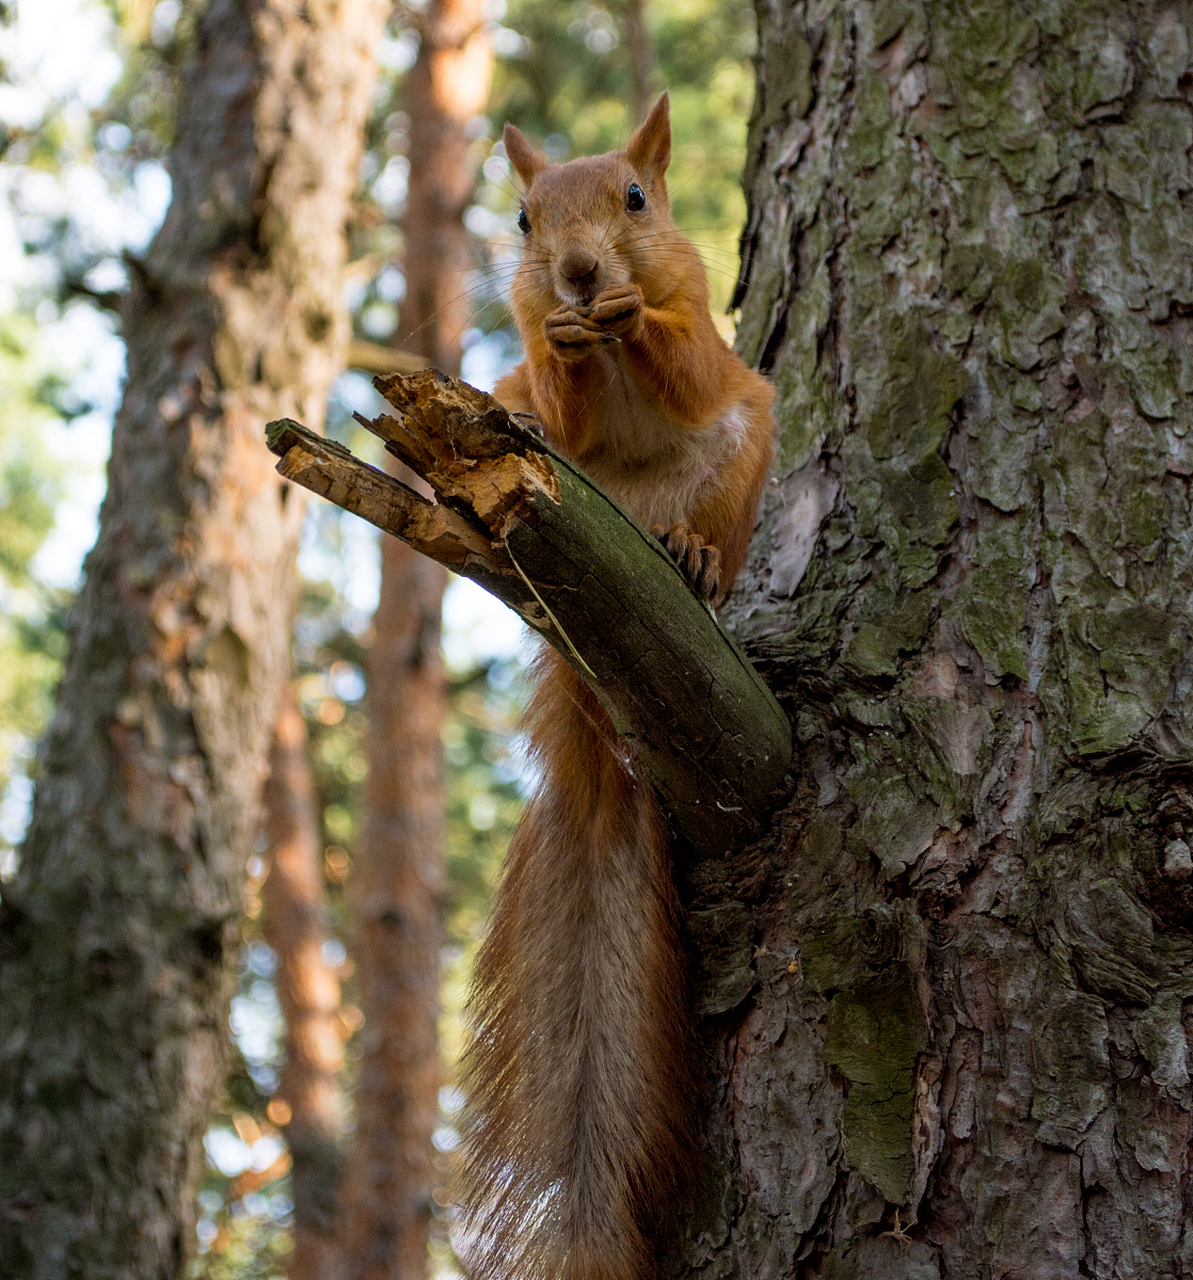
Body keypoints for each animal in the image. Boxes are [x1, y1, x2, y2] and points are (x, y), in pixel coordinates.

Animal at [460, 97, 778, 1280]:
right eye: (521, 218)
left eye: (636, 198)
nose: (580, 273)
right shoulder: (529, 343)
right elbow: (566, 409)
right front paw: (565, 351)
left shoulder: (702, 326)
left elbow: (686, 361)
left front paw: (633, 315)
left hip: (741, 452)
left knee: (707, 515)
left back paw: (691, 557)